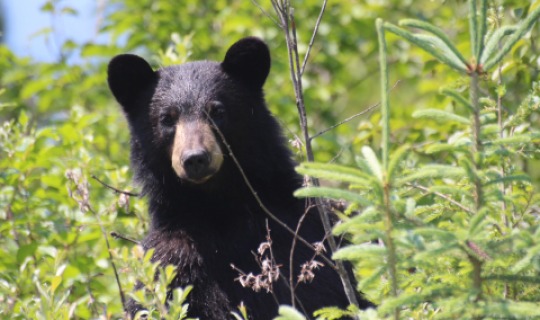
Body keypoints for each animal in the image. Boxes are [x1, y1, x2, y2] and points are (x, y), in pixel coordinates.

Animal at [108, 36, 374, 318]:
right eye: (167, 118)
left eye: (217, 111)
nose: (195, 158)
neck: (221, 208)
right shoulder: (172, 261)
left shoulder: (301, 231)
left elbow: (324, 291)